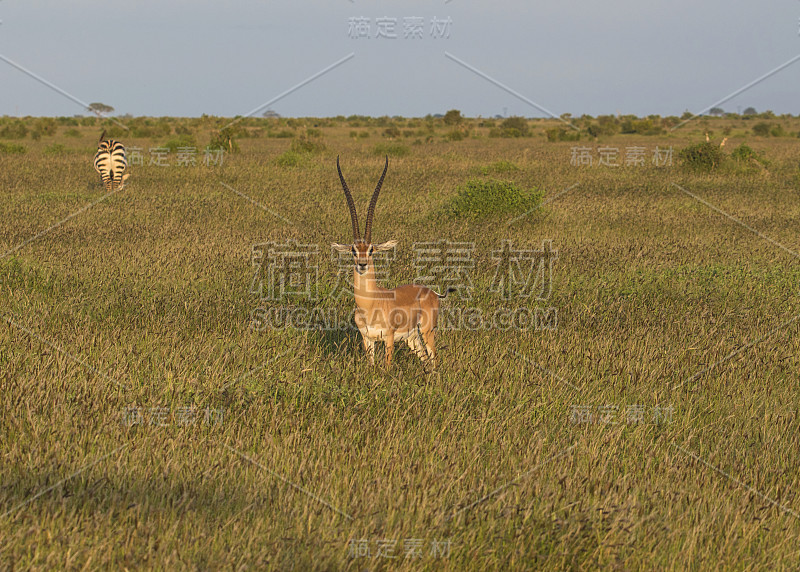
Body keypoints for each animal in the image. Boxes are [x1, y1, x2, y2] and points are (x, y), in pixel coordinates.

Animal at [332, 156, 450, 370]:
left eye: (371, 249)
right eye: (353, 250)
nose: (362, 264)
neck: (371, 303)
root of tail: (432, 292)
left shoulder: (388, 338)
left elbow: (387, 367)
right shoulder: (367, 339)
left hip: (427, 332)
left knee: (434, 358)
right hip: (412, 338)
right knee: (426, 359)